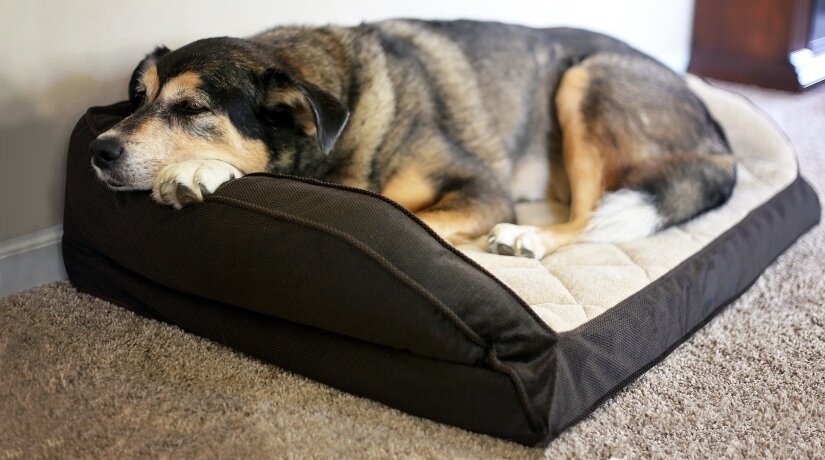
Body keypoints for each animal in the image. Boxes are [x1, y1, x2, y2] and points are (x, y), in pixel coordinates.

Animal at [90, 19, 732, 258]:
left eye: (193, 108)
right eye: (138, 98)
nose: (98, 150)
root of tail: (720, 144)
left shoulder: (481, 187)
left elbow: (409, 217)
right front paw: (202, 171)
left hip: (585, 80)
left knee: (590, 215)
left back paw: (528, 236)